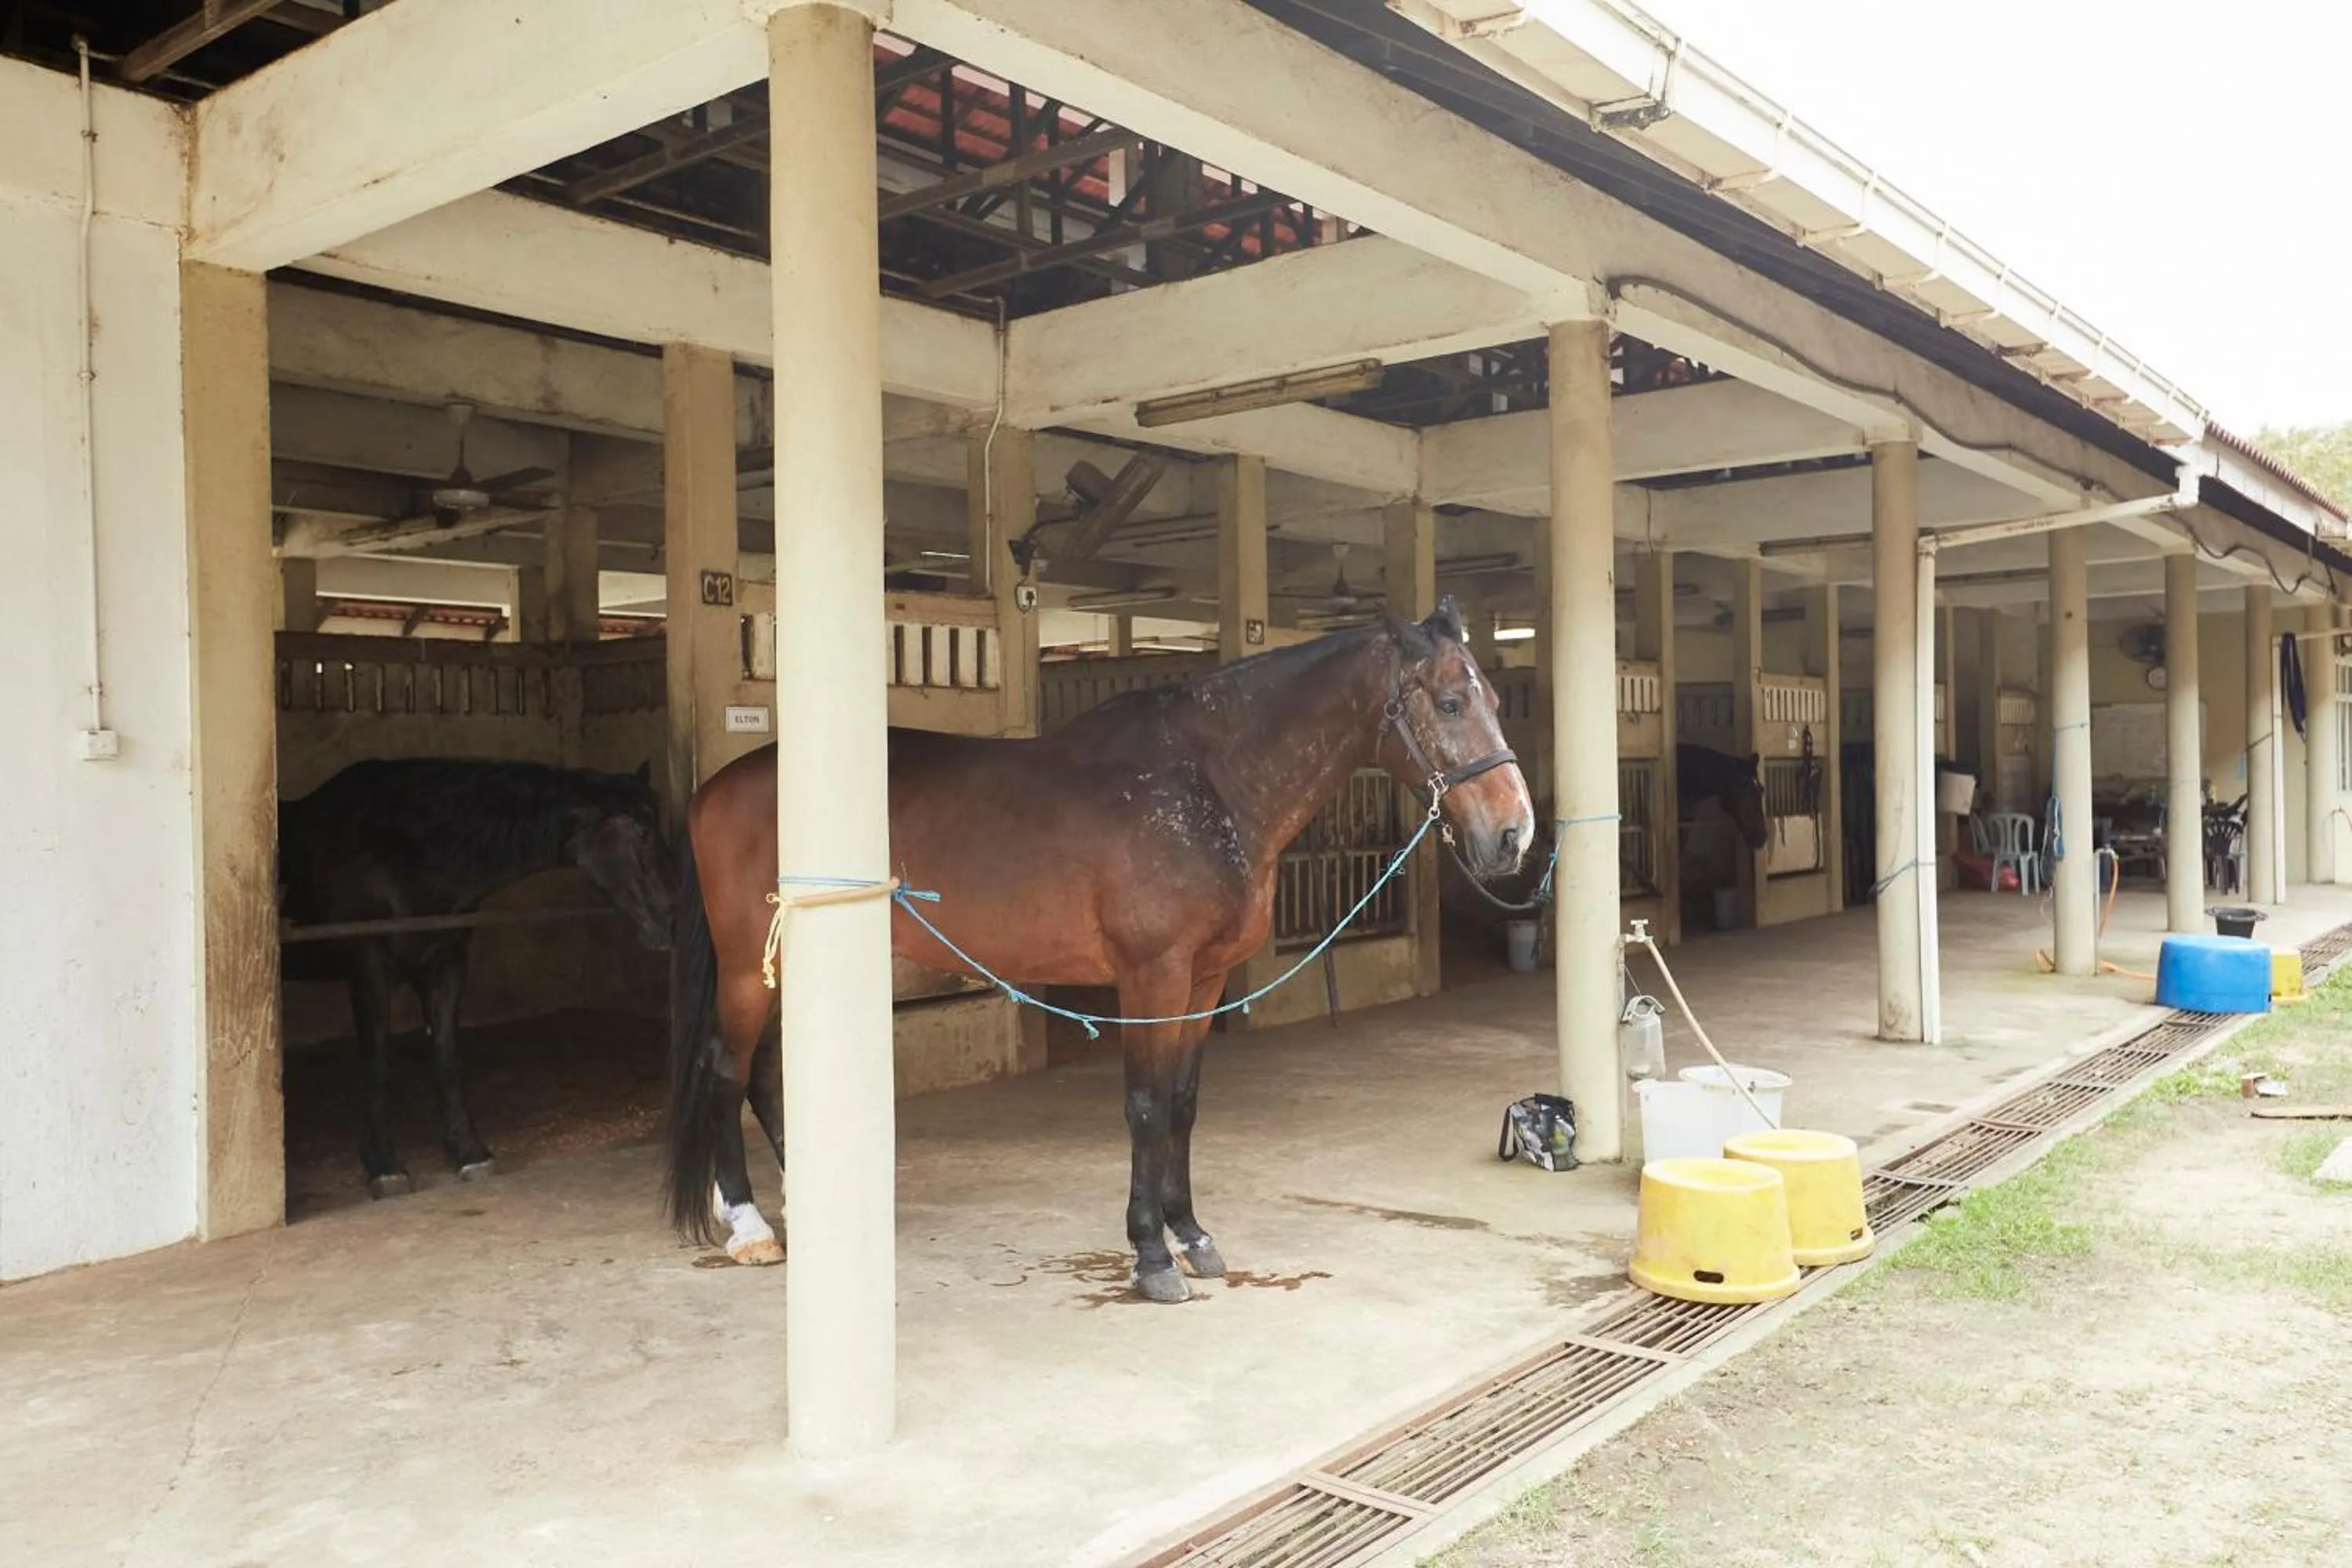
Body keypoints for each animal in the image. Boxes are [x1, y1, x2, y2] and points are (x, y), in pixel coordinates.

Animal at [279, 757, 673, 1198]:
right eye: (643, 832)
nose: (673, 918)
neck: (397, 854)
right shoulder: (370, 969)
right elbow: (378, 1063)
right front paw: (384, 1165)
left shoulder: (447, 965)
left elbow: (447, 1056)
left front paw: (468, 1150)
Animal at [664, 600, 1536, 1301]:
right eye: (1451, 701)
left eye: (1496, 701)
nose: (1514, 833)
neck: (1207, 784)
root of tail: (715, 789)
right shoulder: (1152, 976)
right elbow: (1146, 1106)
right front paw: (1151, 1257)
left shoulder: (1204, 977)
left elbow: (1182, 1103)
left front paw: (1193, 1236)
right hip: (747, 968)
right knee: (727, 1067)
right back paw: (749, 1225)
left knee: (764, 1073)